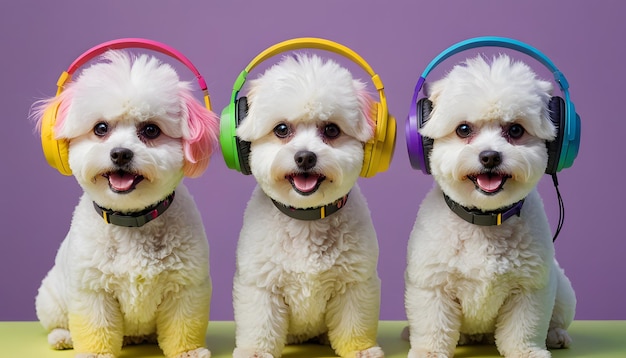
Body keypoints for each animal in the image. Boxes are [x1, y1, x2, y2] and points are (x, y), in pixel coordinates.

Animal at [31, 49, 218, 358]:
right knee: (56, 322)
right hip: (51, 297)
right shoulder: (93, 291)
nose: (120, 153)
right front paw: (95, 353)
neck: (132, 221)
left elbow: (182, 326)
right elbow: (95, 326)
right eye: (101, 128)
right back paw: (62, 337)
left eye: (151, 130)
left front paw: (187, 351)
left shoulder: (185, 287)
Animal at [230, 53, 382, 358]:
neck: (306, 220)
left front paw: (360, 349)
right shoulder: (261, 285)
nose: (305, 157)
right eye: (282, 129)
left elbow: (354, 323)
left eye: (332, 130)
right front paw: (255, 351)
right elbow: (260, 323)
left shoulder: (354, 284)